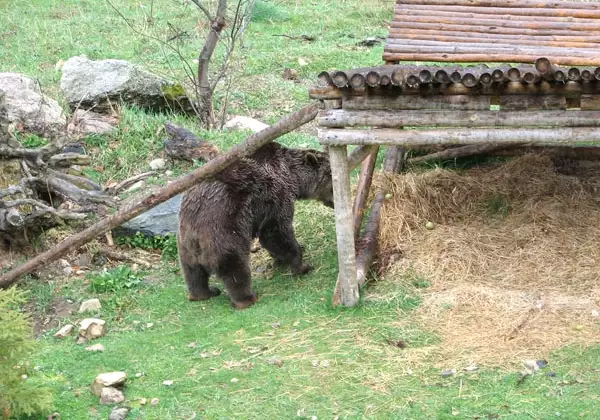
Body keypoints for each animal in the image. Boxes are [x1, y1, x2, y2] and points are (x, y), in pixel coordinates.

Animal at [176, 143, 336, 310]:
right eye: (332, 183)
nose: (334, 205)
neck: (292, 176)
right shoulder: (275, 196)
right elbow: (275, 232)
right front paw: (302, 265)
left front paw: (280, 259)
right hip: (224, 227)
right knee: (235, 267)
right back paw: (247, 298)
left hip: (186, 242)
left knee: (193, 272)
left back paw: (204, 293)